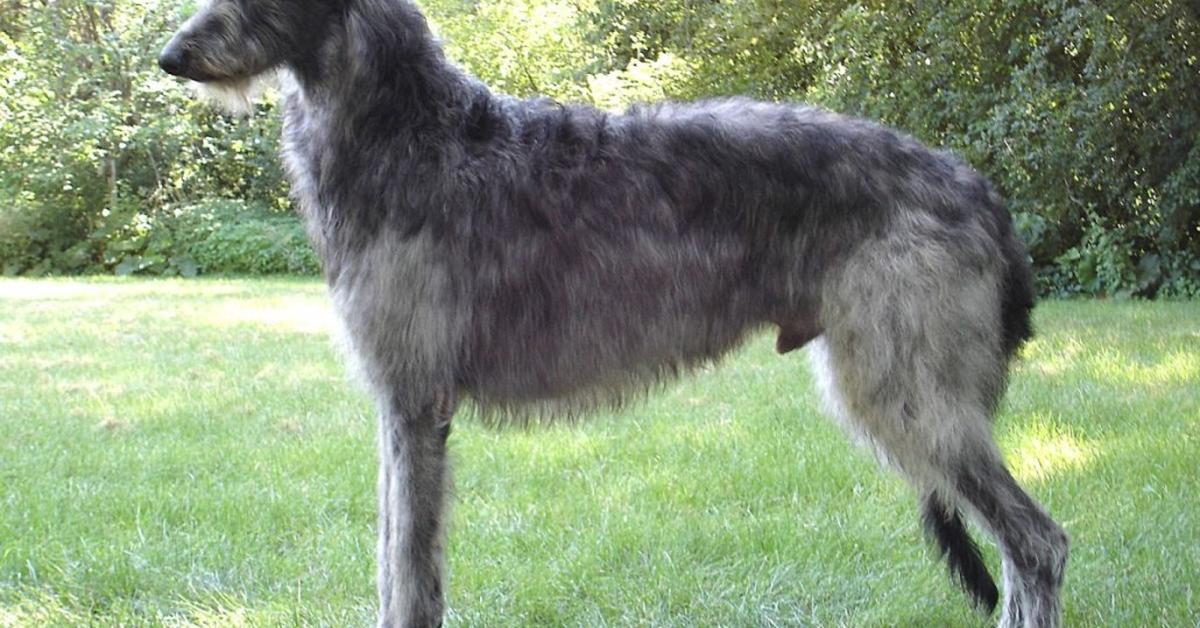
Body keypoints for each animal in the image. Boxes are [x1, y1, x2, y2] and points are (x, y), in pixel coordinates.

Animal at [157, 0, 1070, 624]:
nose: (170, 55)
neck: (413, 130)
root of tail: (981, 191)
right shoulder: (401, 407)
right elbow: (393, 561)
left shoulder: (416, 402)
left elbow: (411, 578)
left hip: (904, 386)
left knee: (1039, 544)